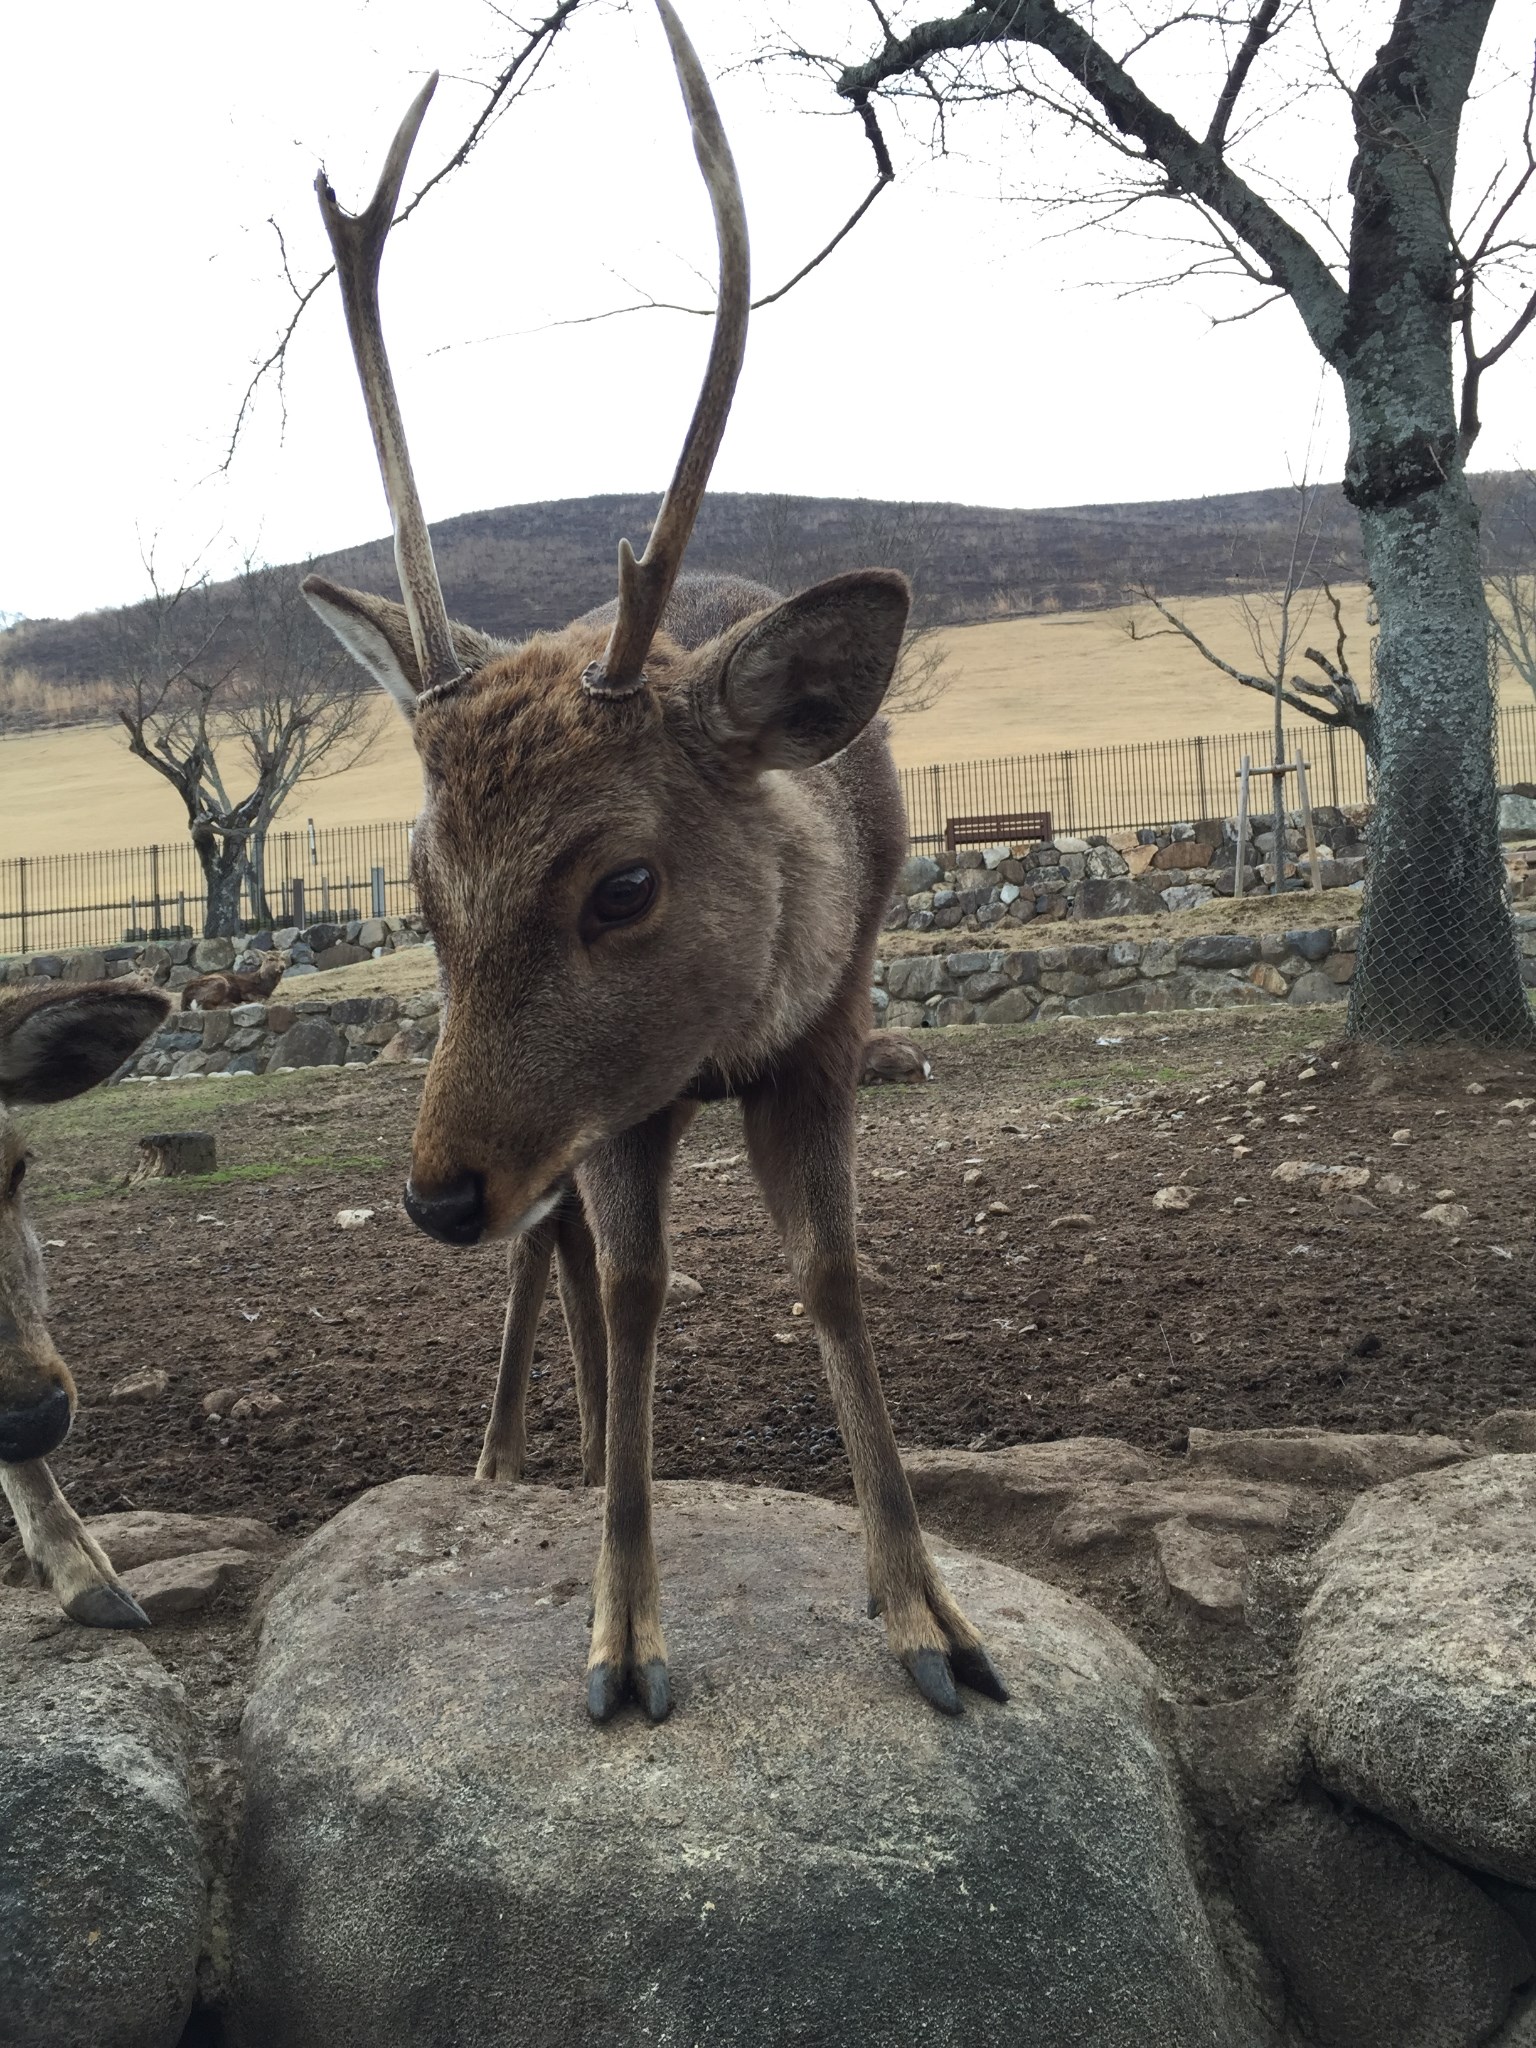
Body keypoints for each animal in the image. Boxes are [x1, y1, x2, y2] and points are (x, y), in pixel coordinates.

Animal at [303, 0, 1011, 1728]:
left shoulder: (833, 1030)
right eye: (420, 887)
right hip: (558, 1121)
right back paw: (506, 1457)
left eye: (622, 885)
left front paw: (932, 1621)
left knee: (555, 1239)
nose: (432, 1193)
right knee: (562, 1250)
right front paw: (623, 1643)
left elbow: (832, 1277)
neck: (735, 1028)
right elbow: (634, 1292)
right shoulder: (619, 1102)